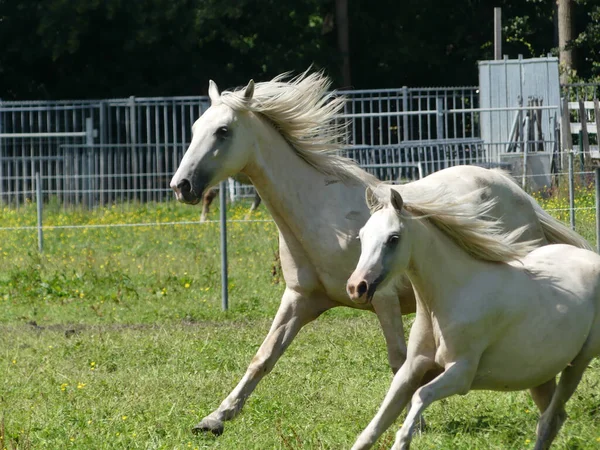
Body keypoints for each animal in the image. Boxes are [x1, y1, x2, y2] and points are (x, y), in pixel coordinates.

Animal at [344, 185, 600, 450]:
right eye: (362, 236)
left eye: (393, 238)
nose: (356, 287)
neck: (450, 299)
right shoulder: (411, 369)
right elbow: (373, 427)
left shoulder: (461, 374)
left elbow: (421, 395)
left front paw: (402, 442)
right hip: (541, 374)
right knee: (553, 420)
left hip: (578, 363)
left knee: (550, 419)